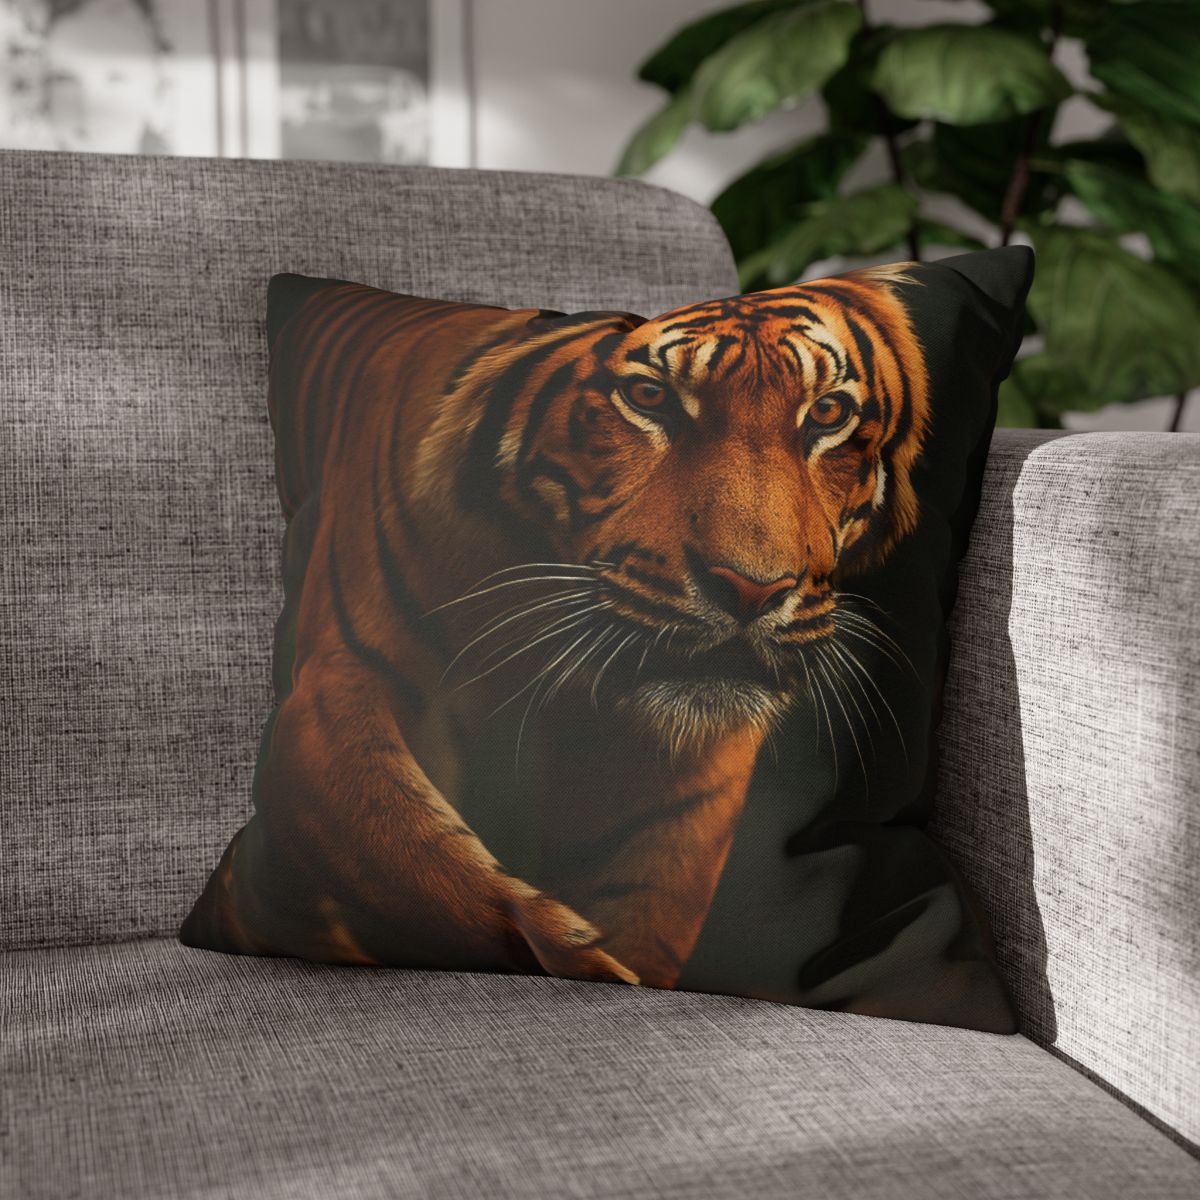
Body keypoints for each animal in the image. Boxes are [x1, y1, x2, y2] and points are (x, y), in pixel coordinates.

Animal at [181, 267, 931, 991]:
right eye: (649, 397)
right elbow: (421, 856)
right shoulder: (329, 697)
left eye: (827, 413)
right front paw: (579, 956)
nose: (753, 589)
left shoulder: (685, 783)